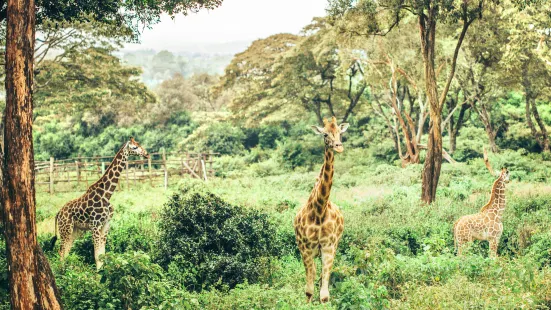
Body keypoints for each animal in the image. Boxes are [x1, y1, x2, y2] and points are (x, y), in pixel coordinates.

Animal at [49, 137, 148, 270]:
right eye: (134, 147)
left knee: (66, 251)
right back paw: (62, 271)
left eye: (139, 144)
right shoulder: (95, 225)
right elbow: (97, 255)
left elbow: (102, 254)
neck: (107, 194)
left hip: (74, 231)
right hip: (65, 229)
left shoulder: (106, 224)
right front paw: (98, 274)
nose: (146, 154)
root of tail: (58, 213)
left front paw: (102, 272)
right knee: (61, 251)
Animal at [294, 116, 350, 302]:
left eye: (340, 132)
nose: (339, 146)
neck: (319, 209)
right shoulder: (307, 248)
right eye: (325, 134)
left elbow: (324, 295)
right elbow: (309, 291)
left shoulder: (328, 247)